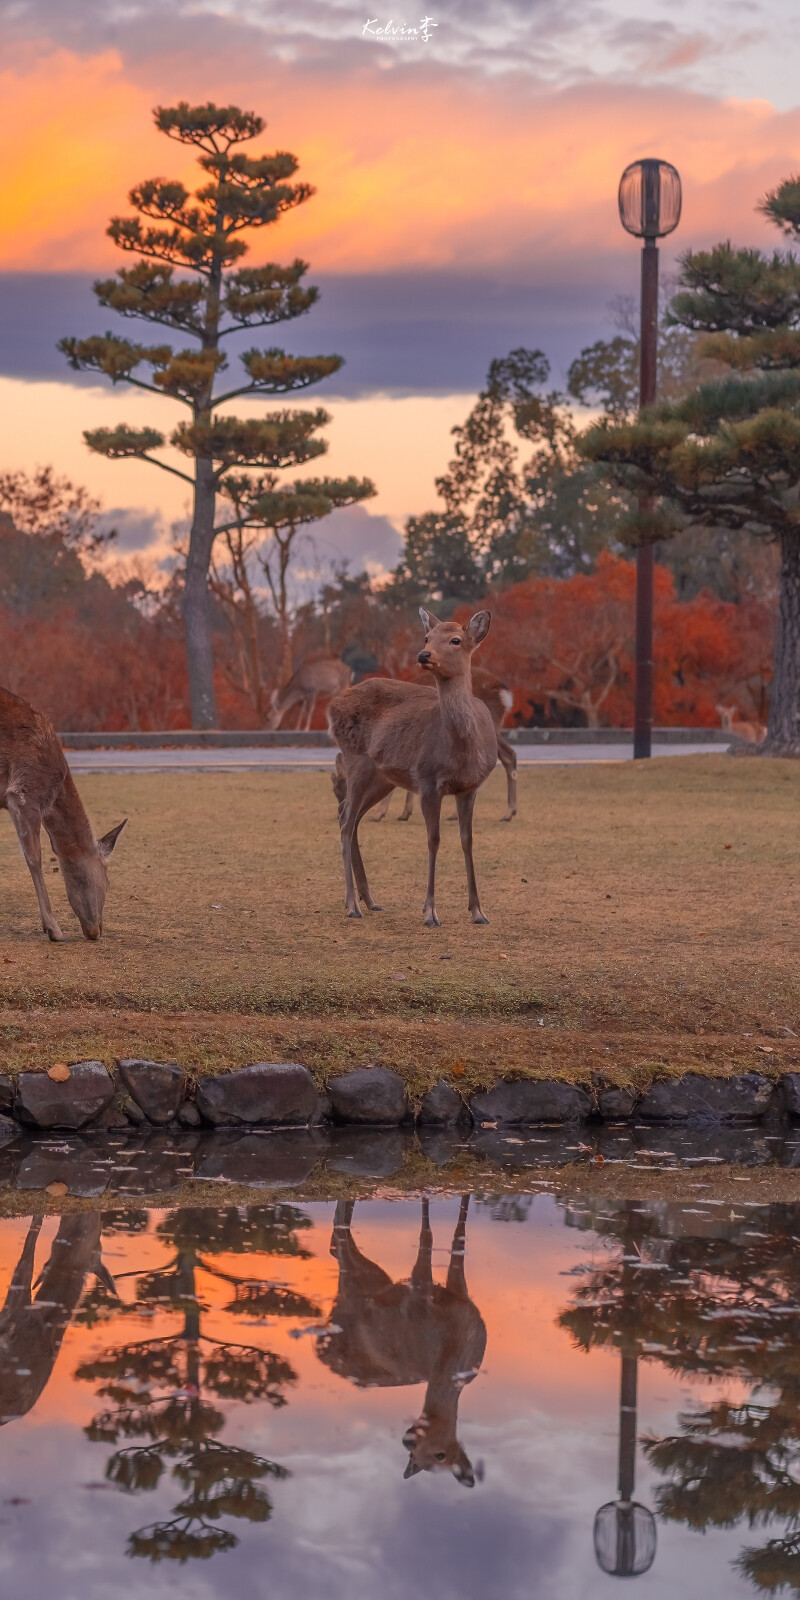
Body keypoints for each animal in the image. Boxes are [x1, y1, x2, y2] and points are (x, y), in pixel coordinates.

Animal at [315, 1196, 483, 1478]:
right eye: (414, 1456)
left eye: (441, 1455)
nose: (407, 1441)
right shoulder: (419, 1293)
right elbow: (427, 1236)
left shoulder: (458, 1294)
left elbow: (457, 1238)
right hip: (359, 1288)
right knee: (340, 1242)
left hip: (373, 1279)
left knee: (337, 1243)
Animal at [328, 608, 496, 928]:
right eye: (427, 637)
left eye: (456, 640)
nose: (423, 654)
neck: (463, 751)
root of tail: (330, 707)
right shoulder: (428, 781)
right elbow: (434, 839)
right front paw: (430, 913)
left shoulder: (471, 786)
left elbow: (467, 841)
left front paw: (479, 912)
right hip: (356, 760)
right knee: (344, 821)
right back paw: (352, 905)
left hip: (383, 778)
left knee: (352, 817)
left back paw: (370, 900)